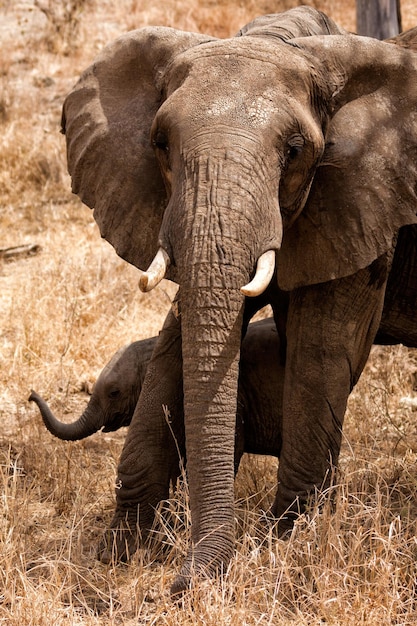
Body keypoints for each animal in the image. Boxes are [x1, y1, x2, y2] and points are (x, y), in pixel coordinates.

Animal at [61, 8, 416, 596]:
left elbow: (321, 353)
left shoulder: (366, 203)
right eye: (160, 144)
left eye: (294, 151)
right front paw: (115, 554)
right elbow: (174, 345)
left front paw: (288, 545)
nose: (179, 585)